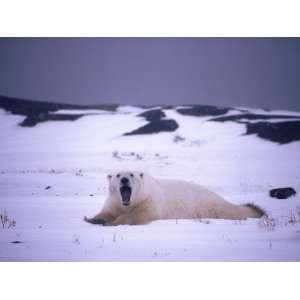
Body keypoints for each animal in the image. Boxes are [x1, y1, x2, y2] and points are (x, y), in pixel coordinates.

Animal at [83, 171, 264, 225]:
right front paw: (92, 219)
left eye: (131, 174)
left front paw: (113, 222)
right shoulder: (114, 201)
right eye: (117, 175)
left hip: (210, 206)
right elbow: (106, 211)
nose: (124, 180)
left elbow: (139, 215)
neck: (127, 203)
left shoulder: (149, 201)